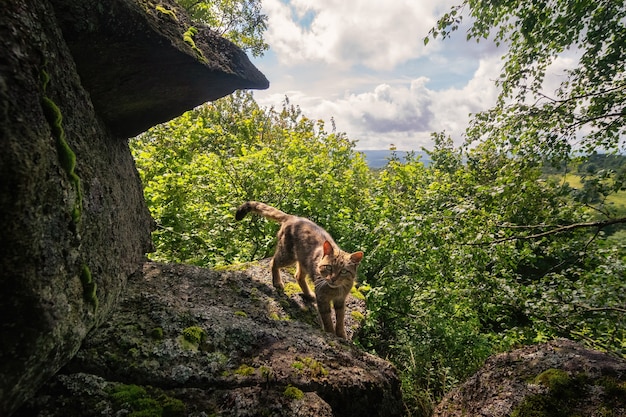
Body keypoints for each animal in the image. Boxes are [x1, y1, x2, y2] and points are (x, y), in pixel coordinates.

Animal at [233, 200, 360, 340]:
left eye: (343, 271)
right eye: (329, 267)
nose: (332, 279)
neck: (334, 290)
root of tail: (293, 217)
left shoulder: (341, 300)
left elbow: (341, 317)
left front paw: (341, 334)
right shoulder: (322, 299)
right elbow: (327, 318)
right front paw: (331, 334)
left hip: (302, 261)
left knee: (298, 276)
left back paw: (309, 294)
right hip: (287, 255)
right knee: (273, 262)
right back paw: (277, 282)